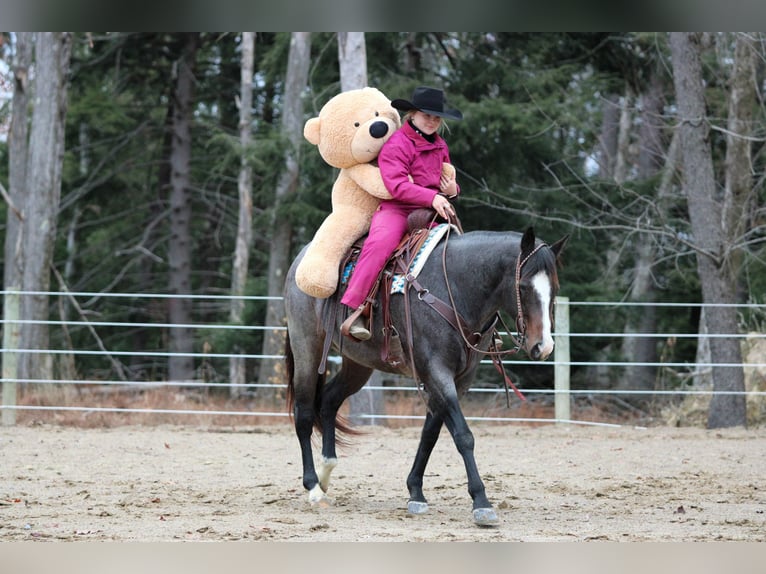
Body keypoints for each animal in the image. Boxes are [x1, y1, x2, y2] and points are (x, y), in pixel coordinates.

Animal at [284, 226, 567, 526]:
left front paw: (416, 493)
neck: (455, 288)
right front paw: (481, 502)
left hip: (358, 364)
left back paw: (326, 473)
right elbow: (463, 436)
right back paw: (313, 487)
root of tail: (300, 259)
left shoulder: (460, 379)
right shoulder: (436, 371)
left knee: (328, 401)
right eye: (523, 286)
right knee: (304, 414)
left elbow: (430, 433)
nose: (543, 346)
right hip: (306, 348)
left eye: (555, 288)